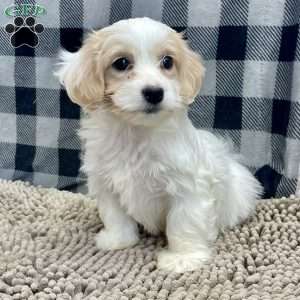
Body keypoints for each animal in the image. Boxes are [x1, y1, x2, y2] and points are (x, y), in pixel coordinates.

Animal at [55, 17, 260, 274]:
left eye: (167, 62)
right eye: (121, 63)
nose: (154, 92)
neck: (137, 132)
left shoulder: (187, 187)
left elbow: (183, 222)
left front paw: (183, 258)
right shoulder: (106, 183)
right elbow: (115, 215)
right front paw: (118, 240)